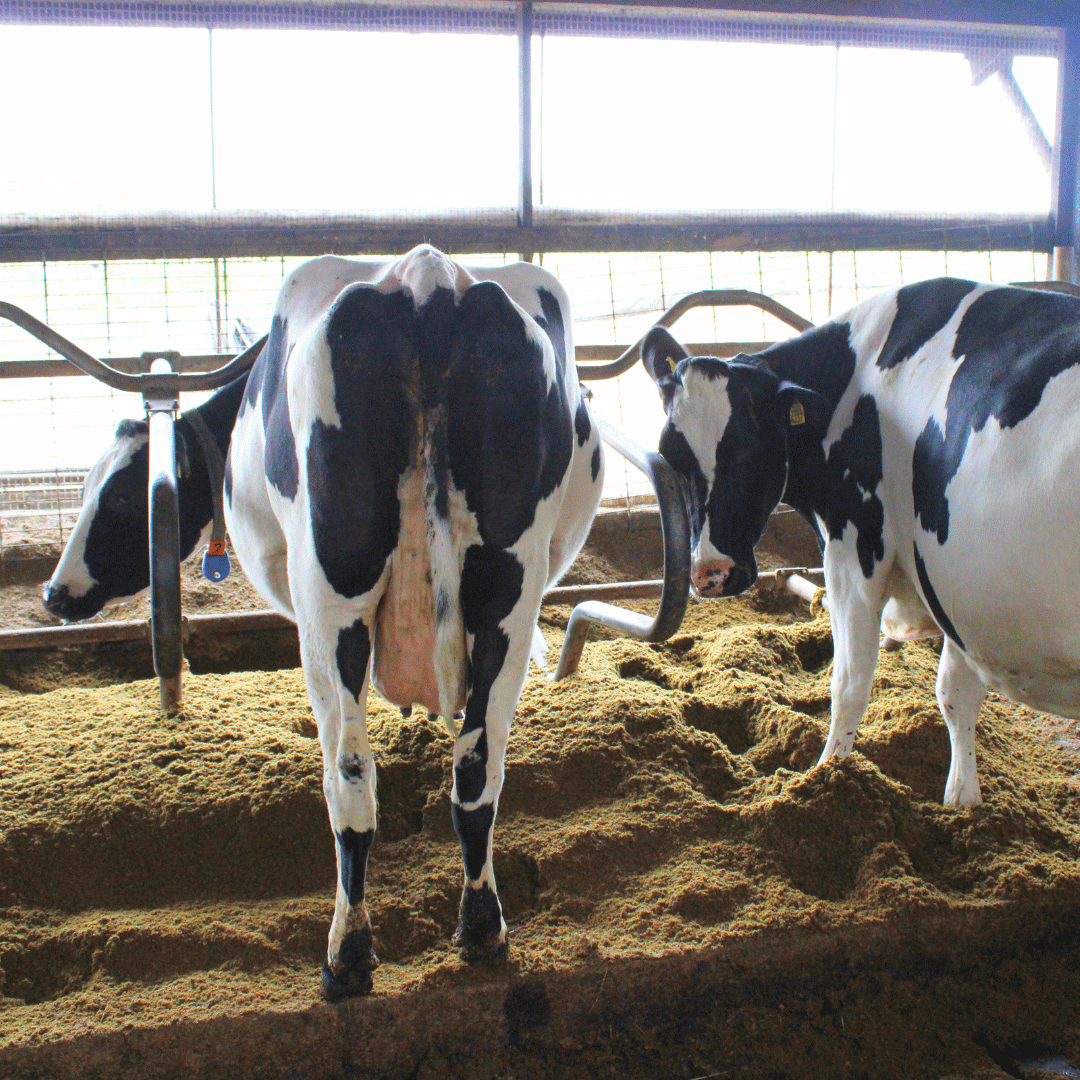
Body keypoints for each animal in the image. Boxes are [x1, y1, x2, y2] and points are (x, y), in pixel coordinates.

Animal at [42, 245, 605, 999]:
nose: (55, 594)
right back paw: (483, 929)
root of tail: (428, 277)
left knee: (349, 776)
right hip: (506, 595)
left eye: (126, 496)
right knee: (476, 772)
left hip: (330, 599)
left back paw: (347, 954)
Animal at [642, 277, 1080, 811]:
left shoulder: (854, 547)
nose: (710, 573)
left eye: (746, 447)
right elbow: (955, 693)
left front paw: (827, 777)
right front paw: (962, 801)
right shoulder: (951, 579)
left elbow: (848, 684)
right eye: (670, 452)